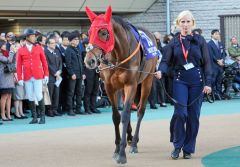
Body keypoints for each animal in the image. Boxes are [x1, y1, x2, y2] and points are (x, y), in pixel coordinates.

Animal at [85, 5, 158, 164]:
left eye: (103, 32)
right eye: (89, 32)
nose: (89, 60)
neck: (118, 56)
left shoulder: (131, 84)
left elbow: (124, 115)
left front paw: (122, 154)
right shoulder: (110, 86)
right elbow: (116, 116)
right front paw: (117, 148)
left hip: (147, 81)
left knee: (140, 111)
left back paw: (134, 142)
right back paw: (129, 137)